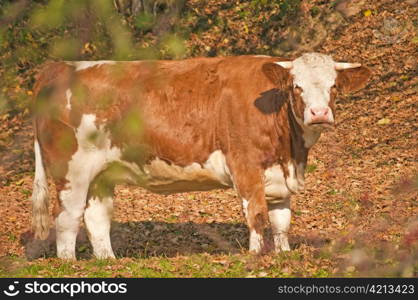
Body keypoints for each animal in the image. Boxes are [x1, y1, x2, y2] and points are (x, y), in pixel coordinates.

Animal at [32, 52, 370, 258]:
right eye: (296, 87)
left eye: (333, 86)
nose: (319, 113)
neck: (292, 152)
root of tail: (58, 67)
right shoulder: (245, 165)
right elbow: (257, 216)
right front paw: (257, 256)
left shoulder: (278, 175)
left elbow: (281, 221)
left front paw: (283, 255)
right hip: (71, 170)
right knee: (67, 218)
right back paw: (69, 264)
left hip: (101, 175)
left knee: (96, 218)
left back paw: (108, 262)